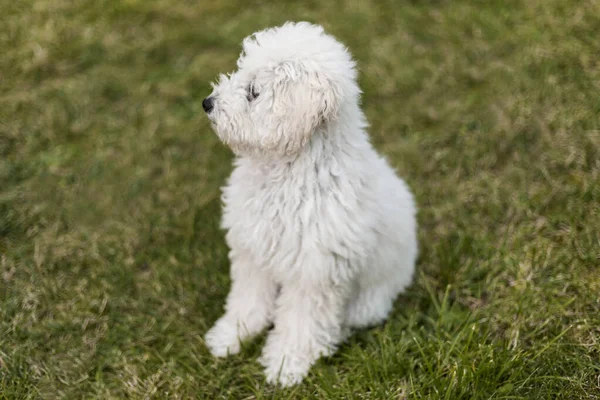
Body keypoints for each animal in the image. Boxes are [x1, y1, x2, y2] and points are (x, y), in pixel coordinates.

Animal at [202, 22, 418, 388]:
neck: (286, 172)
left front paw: (285, 363)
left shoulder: (315, 272)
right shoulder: (253, 251)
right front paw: (233, 335)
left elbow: (301, 322)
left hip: (374, 295)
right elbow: (247, 299)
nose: (207, 103)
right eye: (240, 71)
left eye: (254, 92)